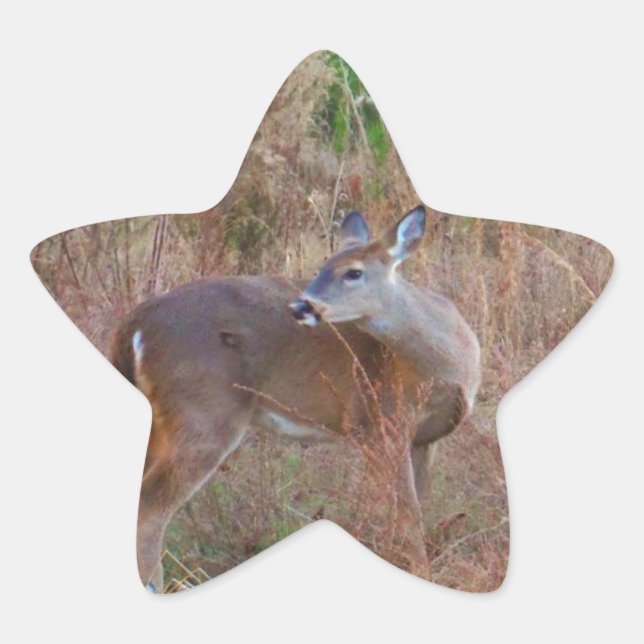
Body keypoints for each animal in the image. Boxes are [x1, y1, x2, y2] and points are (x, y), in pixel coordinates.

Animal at [110, 205, 481, 592]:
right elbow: (407, 516)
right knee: (150, 506)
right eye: (321, 267)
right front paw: (421, 574)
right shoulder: (379, 422)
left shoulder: (423, 439)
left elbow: (415, 508)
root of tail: (133, 326)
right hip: (202, 413)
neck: (450, 367)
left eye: (353, 272)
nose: (302, 306)